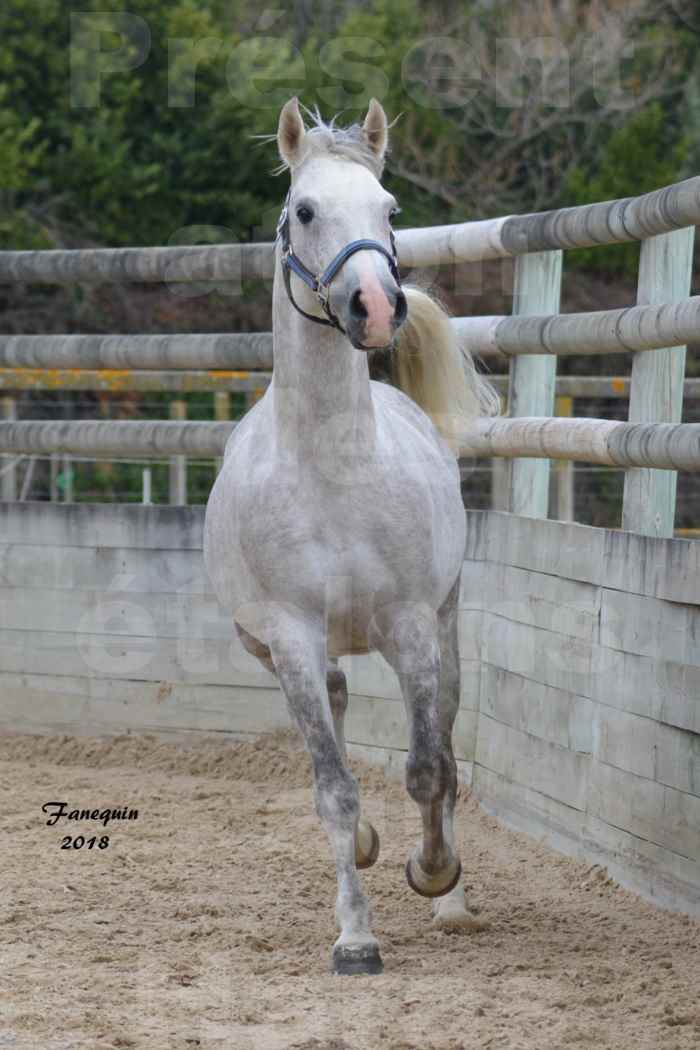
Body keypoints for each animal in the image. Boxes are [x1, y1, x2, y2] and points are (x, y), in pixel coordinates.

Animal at [202, 98, 497, 974]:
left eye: (389, 210)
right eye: (304, 210)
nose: (376, 306)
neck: (332, 467)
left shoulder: (410, 624)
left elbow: (429, 768)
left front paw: (434, 874)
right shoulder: (292, 637)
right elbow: (333, 786)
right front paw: (356, 936)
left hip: (442, 627)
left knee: (444, 742)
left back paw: (452, 903)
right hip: (287, 647)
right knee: (332, 707)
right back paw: (366, 851)